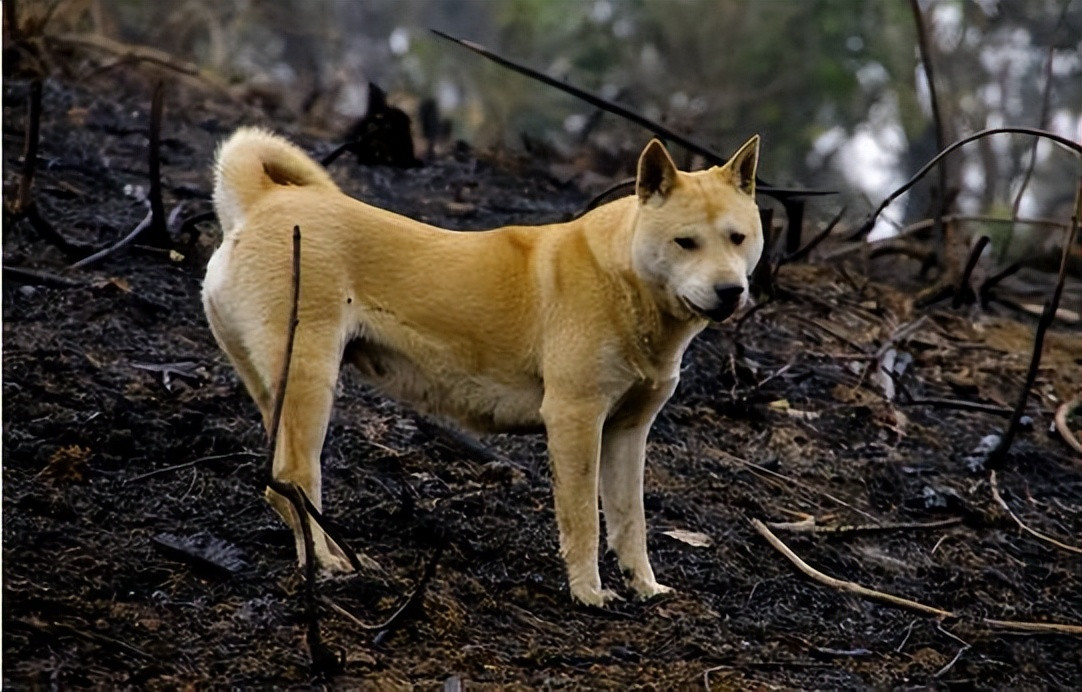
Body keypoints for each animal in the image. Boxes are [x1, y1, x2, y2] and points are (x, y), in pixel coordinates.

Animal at [201, 127, 761, 601]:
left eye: (738, 238)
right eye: (685, 241)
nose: (730, 292)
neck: (623, 279)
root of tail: (260, 201)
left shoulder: (628, 431)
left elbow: (630, 520)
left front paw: (645, 588)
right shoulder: (575, 418)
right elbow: (583, 517)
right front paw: (588, 593)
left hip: (274, 390)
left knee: (279, 486)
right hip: (310, 381)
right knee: (296, 478)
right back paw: (327, 564)